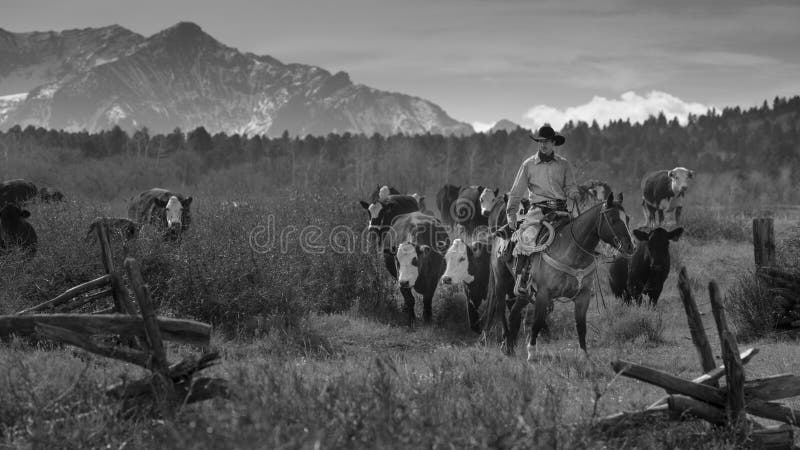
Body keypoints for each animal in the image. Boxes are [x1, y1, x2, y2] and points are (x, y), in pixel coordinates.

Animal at [484, 192, 636, 360]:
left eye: (627, 219)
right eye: (613, 219)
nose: (630, 246)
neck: (572, 252)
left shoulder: (583, 296)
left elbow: (581, 325)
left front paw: (583, 353)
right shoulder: (544, 294)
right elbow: (537, 322)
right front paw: (531, 352)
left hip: (524, 293)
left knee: (514, 313)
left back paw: (510, 346)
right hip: (501, 281)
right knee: (501, 308)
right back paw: (505, 342)